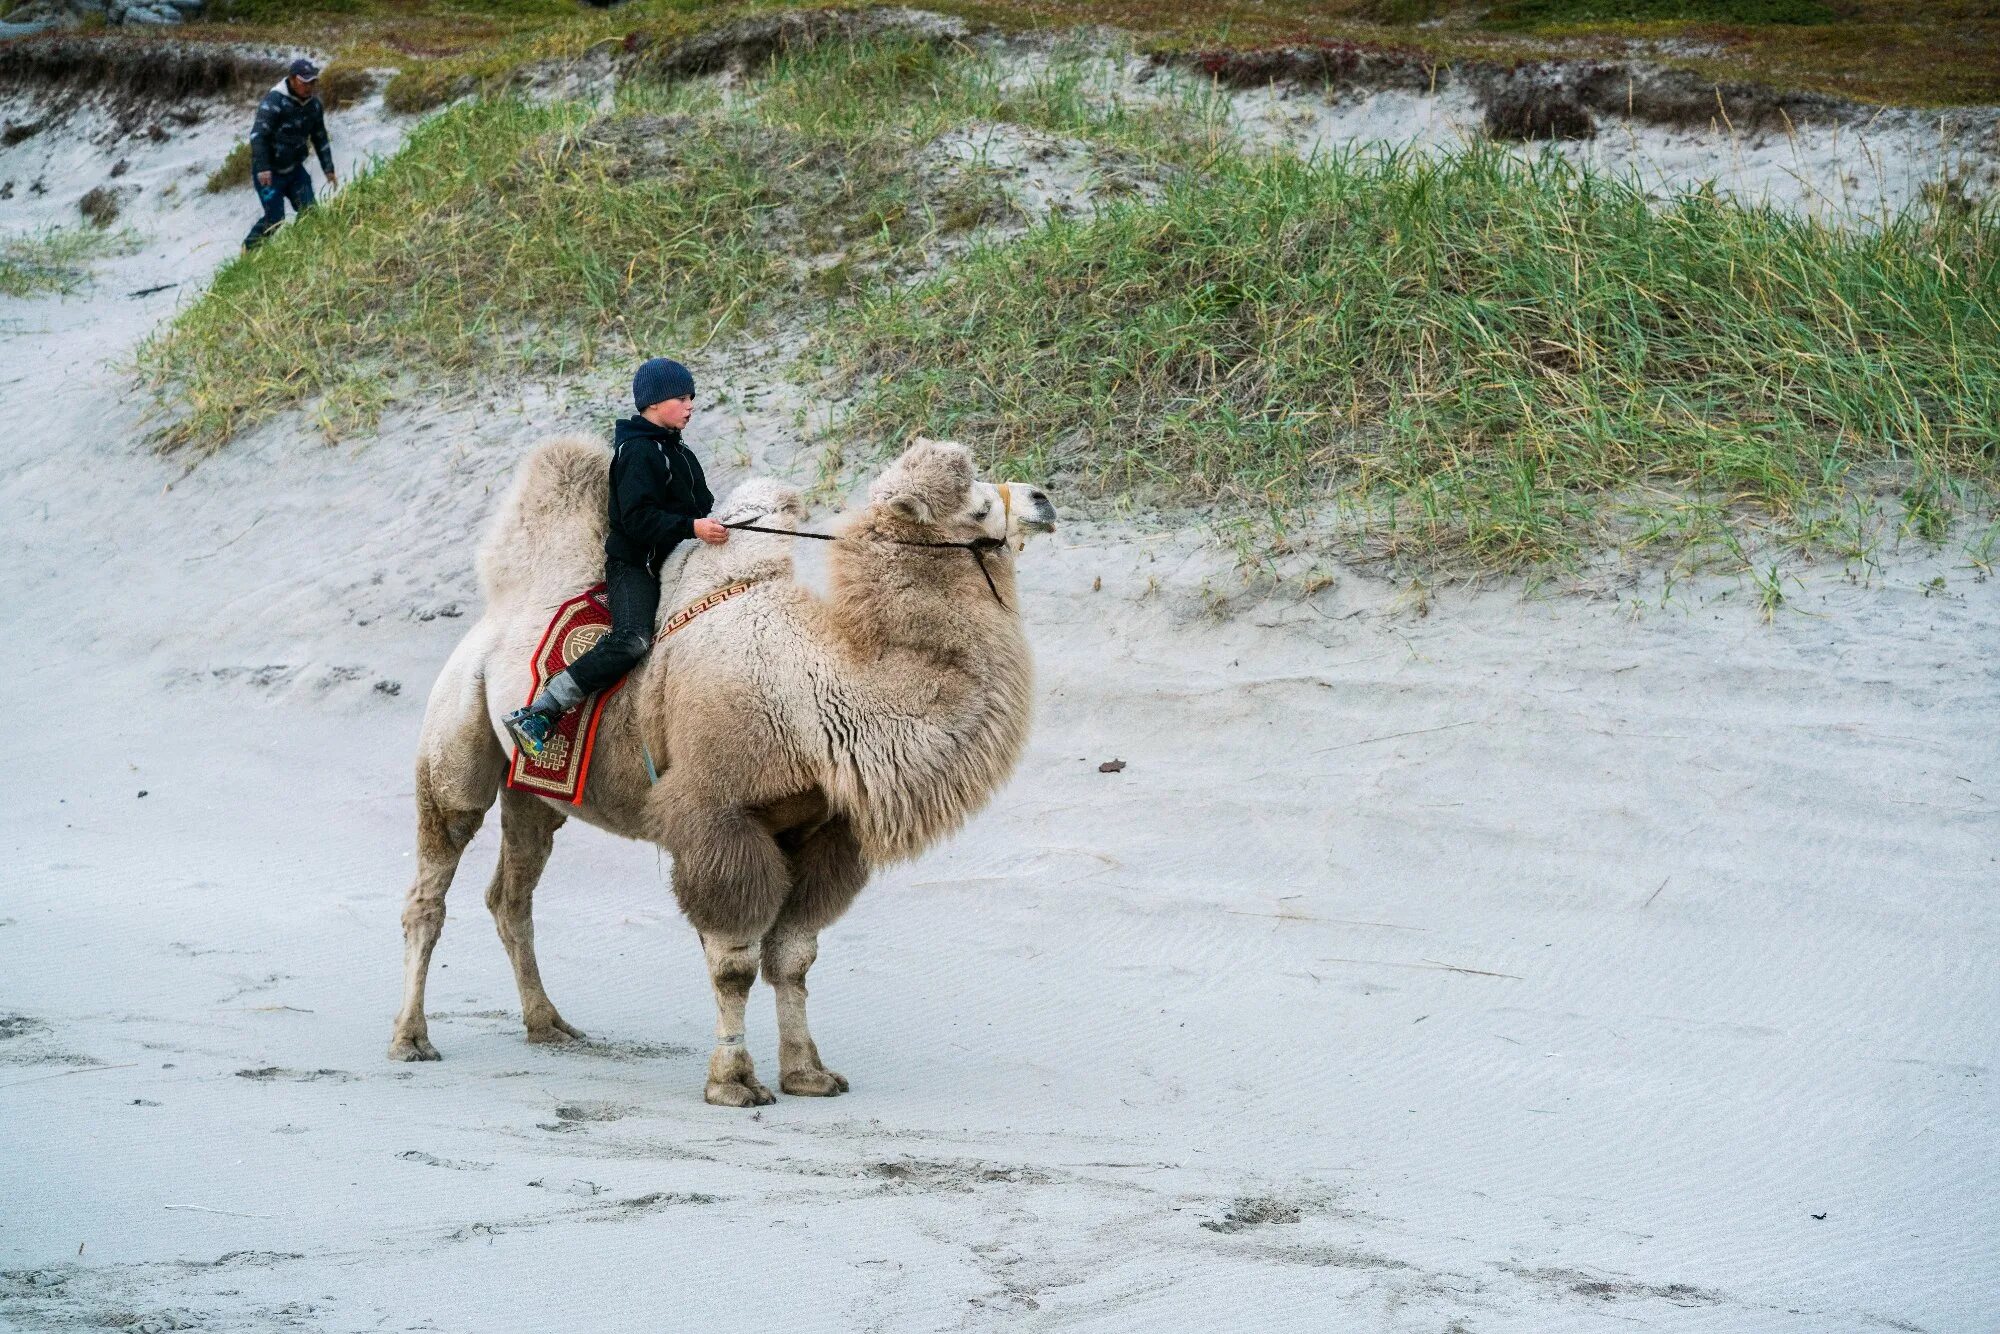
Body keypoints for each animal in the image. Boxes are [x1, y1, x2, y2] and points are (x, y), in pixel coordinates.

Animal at [380, 436, 1056, 1104]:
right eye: (975, 508)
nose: (1042, 498)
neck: (821, 688)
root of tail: (493, 620)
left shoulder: (821, 829)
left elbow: (793, 956)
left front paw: (808, 1074)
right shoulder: (719, 815)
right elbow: (735, 962)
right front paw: (732, 1080)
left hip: (533, 793)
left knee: (511, 895)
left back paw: (549, 1025)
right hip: (456, 737)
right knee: (432, 883)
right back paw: (411, 1039)